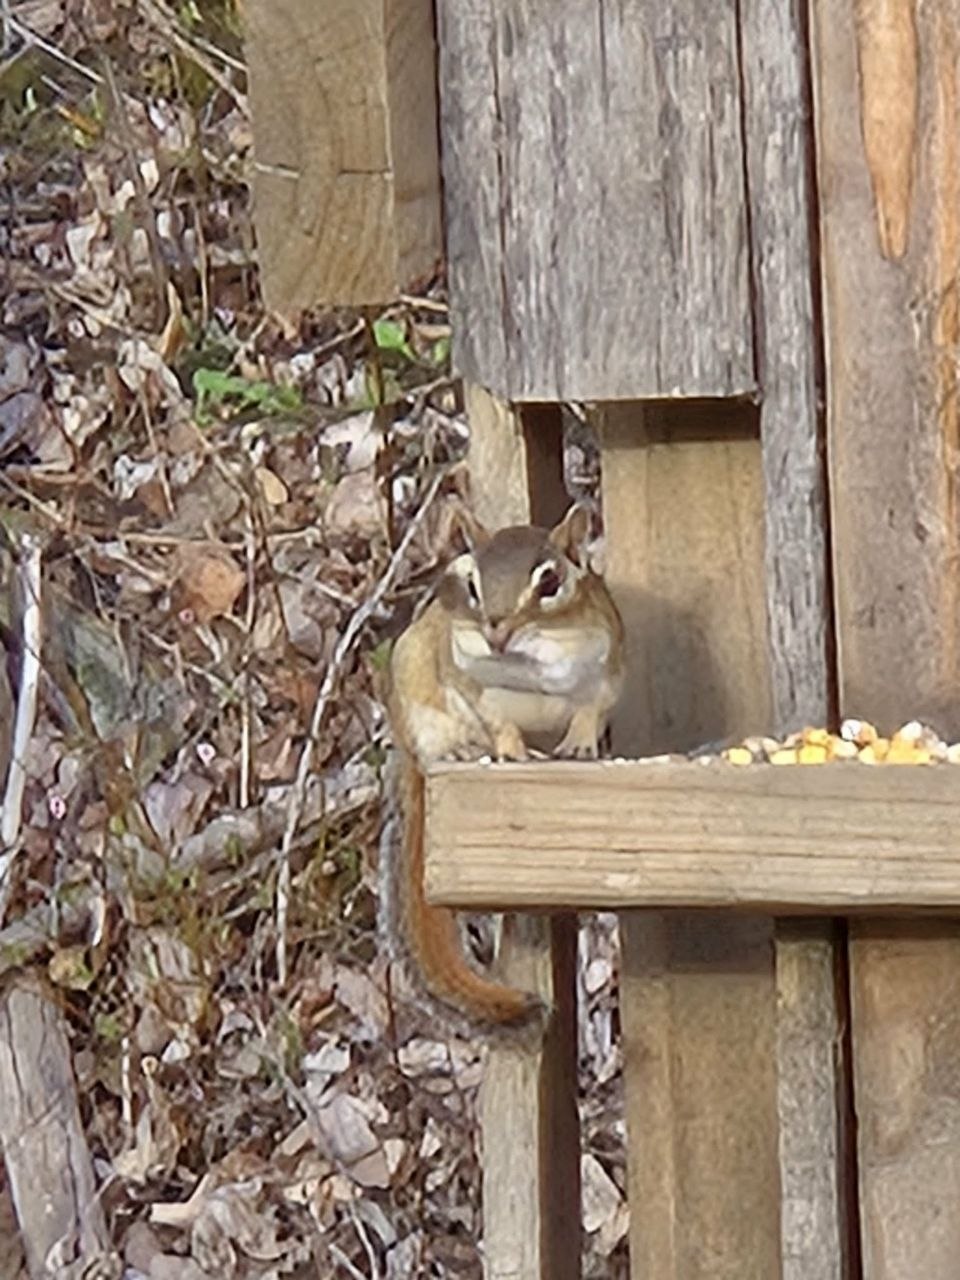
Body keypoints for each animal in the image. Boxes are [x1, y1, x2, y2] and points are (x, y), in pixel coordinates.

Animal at [379, 501, 624, 1032]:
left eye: (550, 581)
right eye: (472, 583)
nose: (495, 630)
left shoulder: (606, 673)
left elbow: (588, 712)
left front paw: (581, 746)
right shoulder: (471, 686)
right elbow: (499, 723)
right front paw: (511, 750)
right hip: (413, 686)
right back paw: (460, 751)